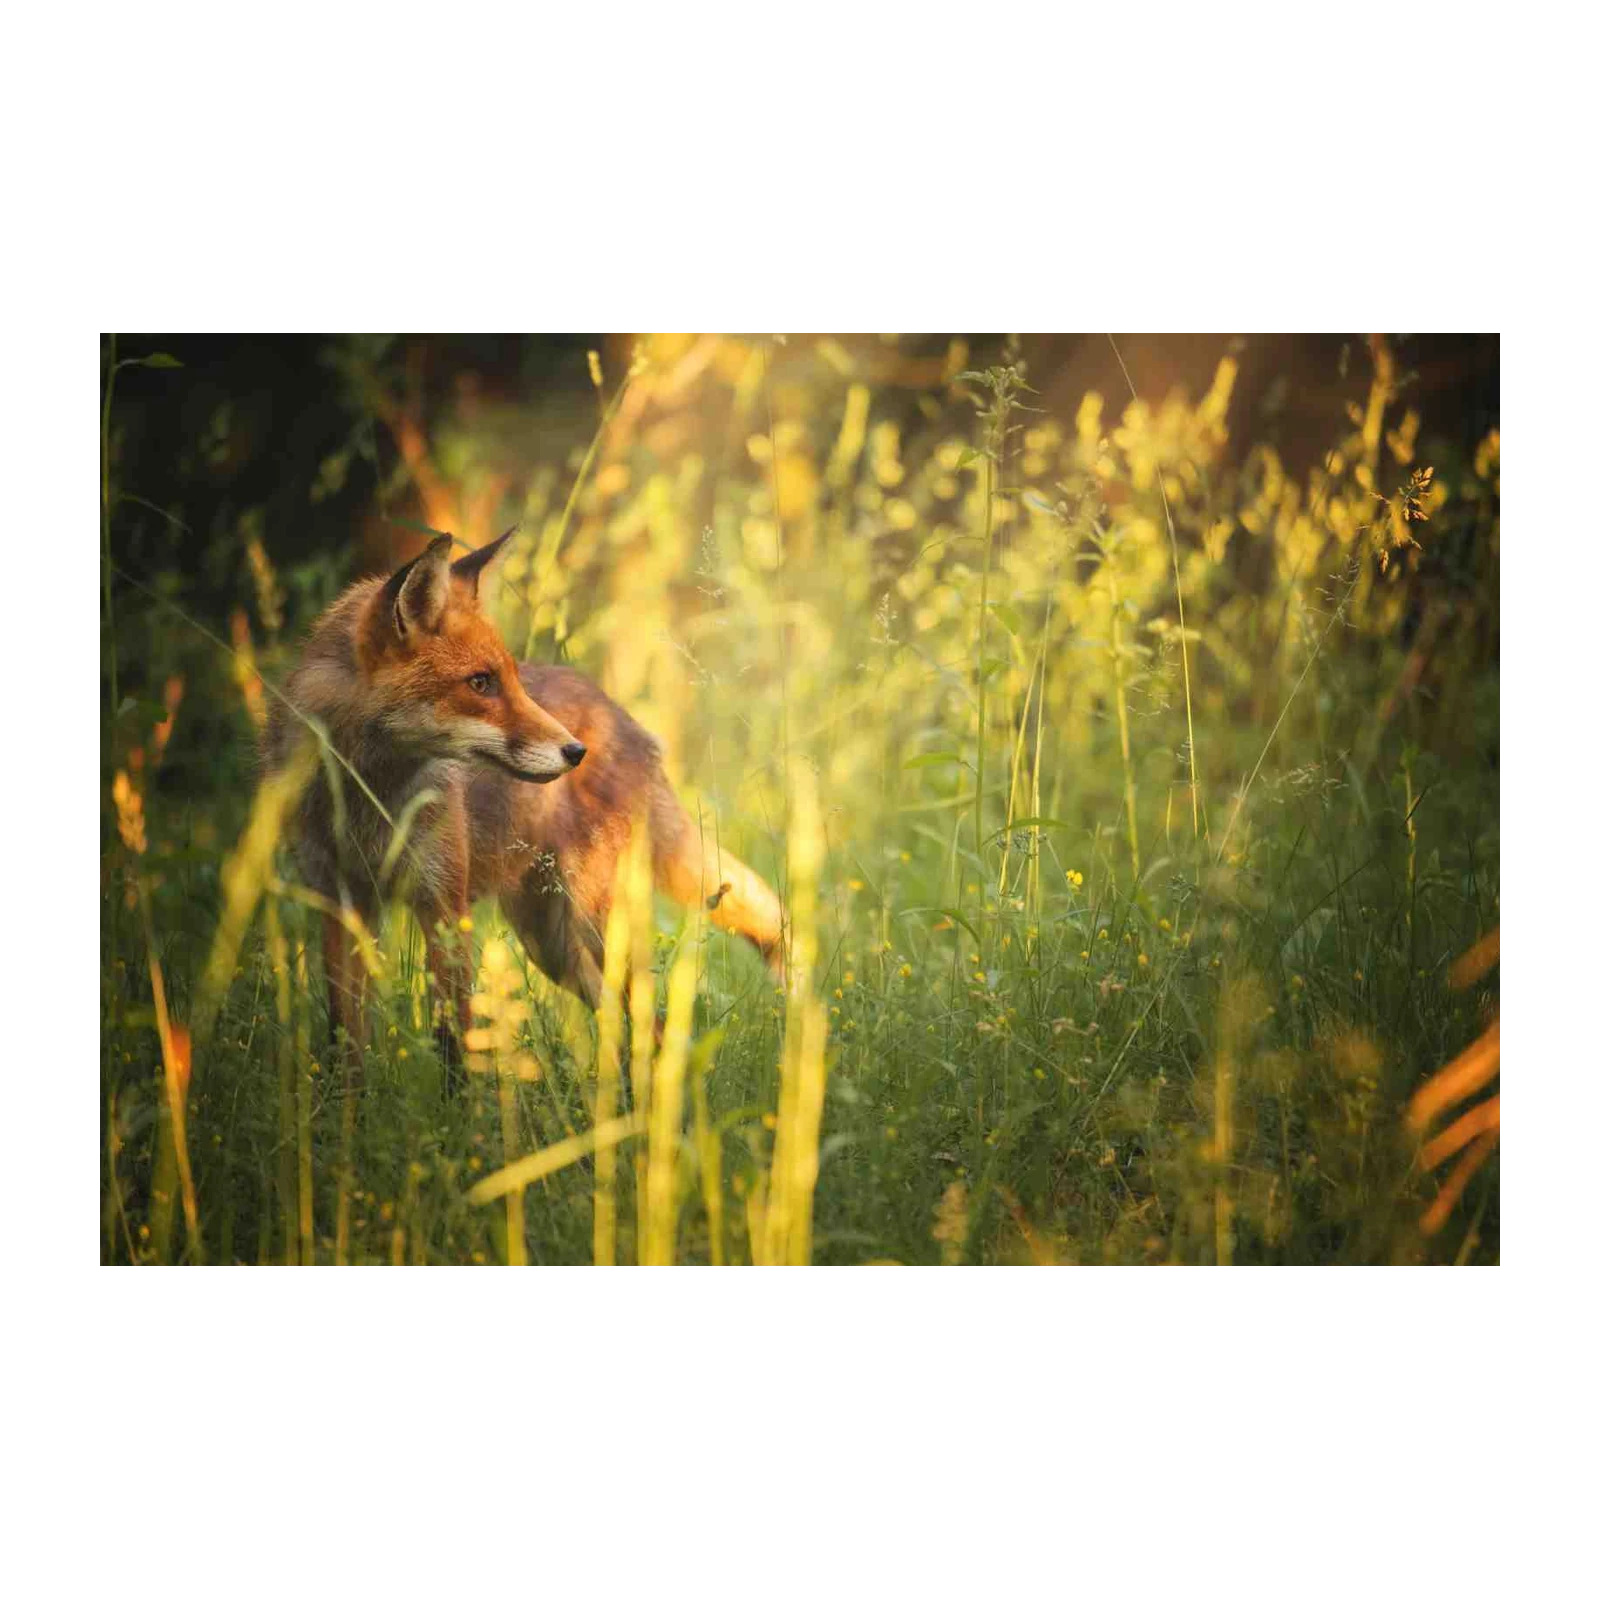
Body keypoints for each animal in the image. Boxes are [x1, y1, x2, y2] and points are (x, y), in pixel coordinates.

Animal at [263, 527, 785, 1087]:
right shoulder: (339, 902)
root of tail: (624, 718)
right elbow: (345, 1038)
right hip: (553, 946)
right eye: (480, 682)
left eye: (511, 677)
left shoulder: (444, 905)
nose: (575, 751)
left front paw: (457, 1111)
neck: (369, 797)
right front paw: (346, 1109)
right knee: (629, 1023)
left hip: (594, 928)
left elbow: (454, 1043)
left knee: (652, 1021)